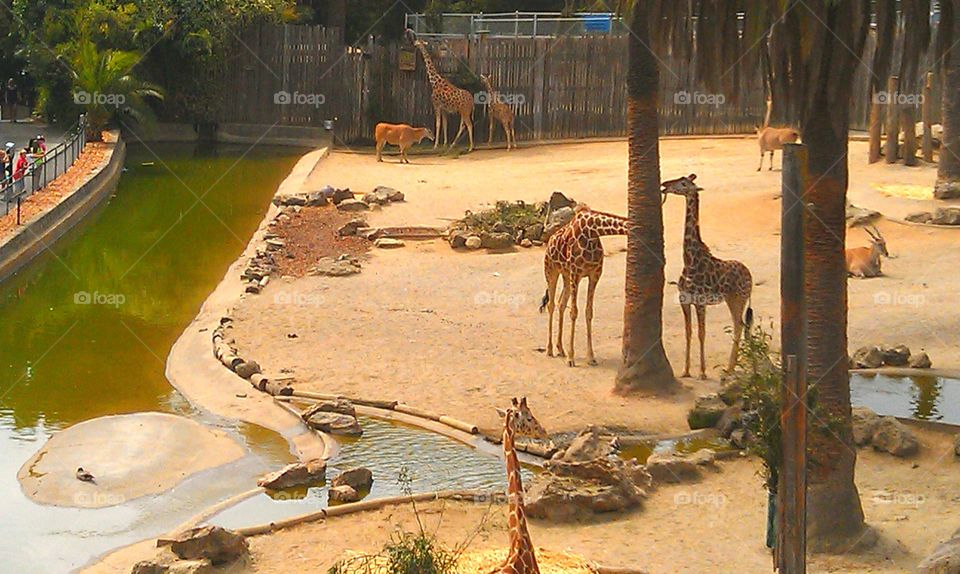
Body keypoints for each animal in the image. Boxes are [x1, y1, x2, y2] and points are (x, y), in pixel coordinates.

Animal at [540, 207, 632, 368]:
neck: (593, 231)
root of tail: (550, 240)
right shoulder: (576, 273)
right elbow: (574, 312)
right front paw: (571, 358)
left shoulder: (594, 275)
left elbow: (589, 312)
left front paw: (591, 358)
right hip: (551, 272)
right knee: (551, 305)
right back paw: (550, 350)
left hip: (566, 276)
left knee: (561, 304)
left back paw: (560, 349)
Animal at [664, 176, 752, 382]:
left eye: (684, 184)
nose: (665, 185)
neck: (689, 261)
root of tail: (750, 274)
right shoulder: (685, 301)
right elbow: (688, 332)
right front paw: (686, 371)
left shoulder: (701, 302)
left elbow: (701, 333)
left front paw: (702, 373)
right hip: (732, 299)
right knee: (741, 325)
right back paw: (731, 368)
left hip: (738, 298)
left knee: (739, 325)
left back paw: (729, 370)